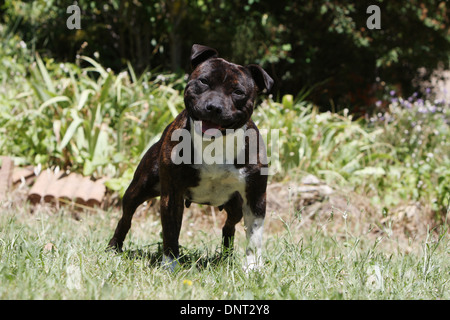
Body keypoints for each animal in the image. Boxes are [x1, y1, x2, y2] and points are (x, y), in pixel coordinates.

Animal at [108, 44, 274, 270]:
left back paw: (226, 255)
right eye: (203, 81)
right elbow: (171, 232)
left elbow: (254, 237)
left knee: (229, 226)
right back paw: (114, 248)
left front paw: (252, 268)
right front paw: (170, 264)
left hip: (236, 205)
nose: (214, 106)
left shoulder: (255, 197)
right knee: (126, 218)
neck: (214, 144)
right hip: (138, 189)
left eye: (238, 92)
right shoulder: (172, 194)